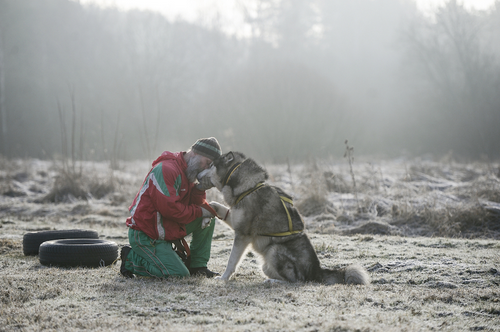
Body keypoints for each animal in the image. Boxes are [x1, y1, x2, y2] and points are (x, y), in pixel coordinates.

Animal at [201, 152, 370, 284]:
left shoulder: (243, 234)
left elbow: (231, 261)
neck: (248, 187)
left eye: (211, 165)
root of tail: (317, 270)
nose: (198, 173)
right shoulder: (236, 221)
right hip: (266, 265)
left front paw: (223, 278)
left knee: (296, 281)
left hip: (274, 250)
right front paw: (205, 216)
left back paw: (272, 282)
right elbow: (215, 205)